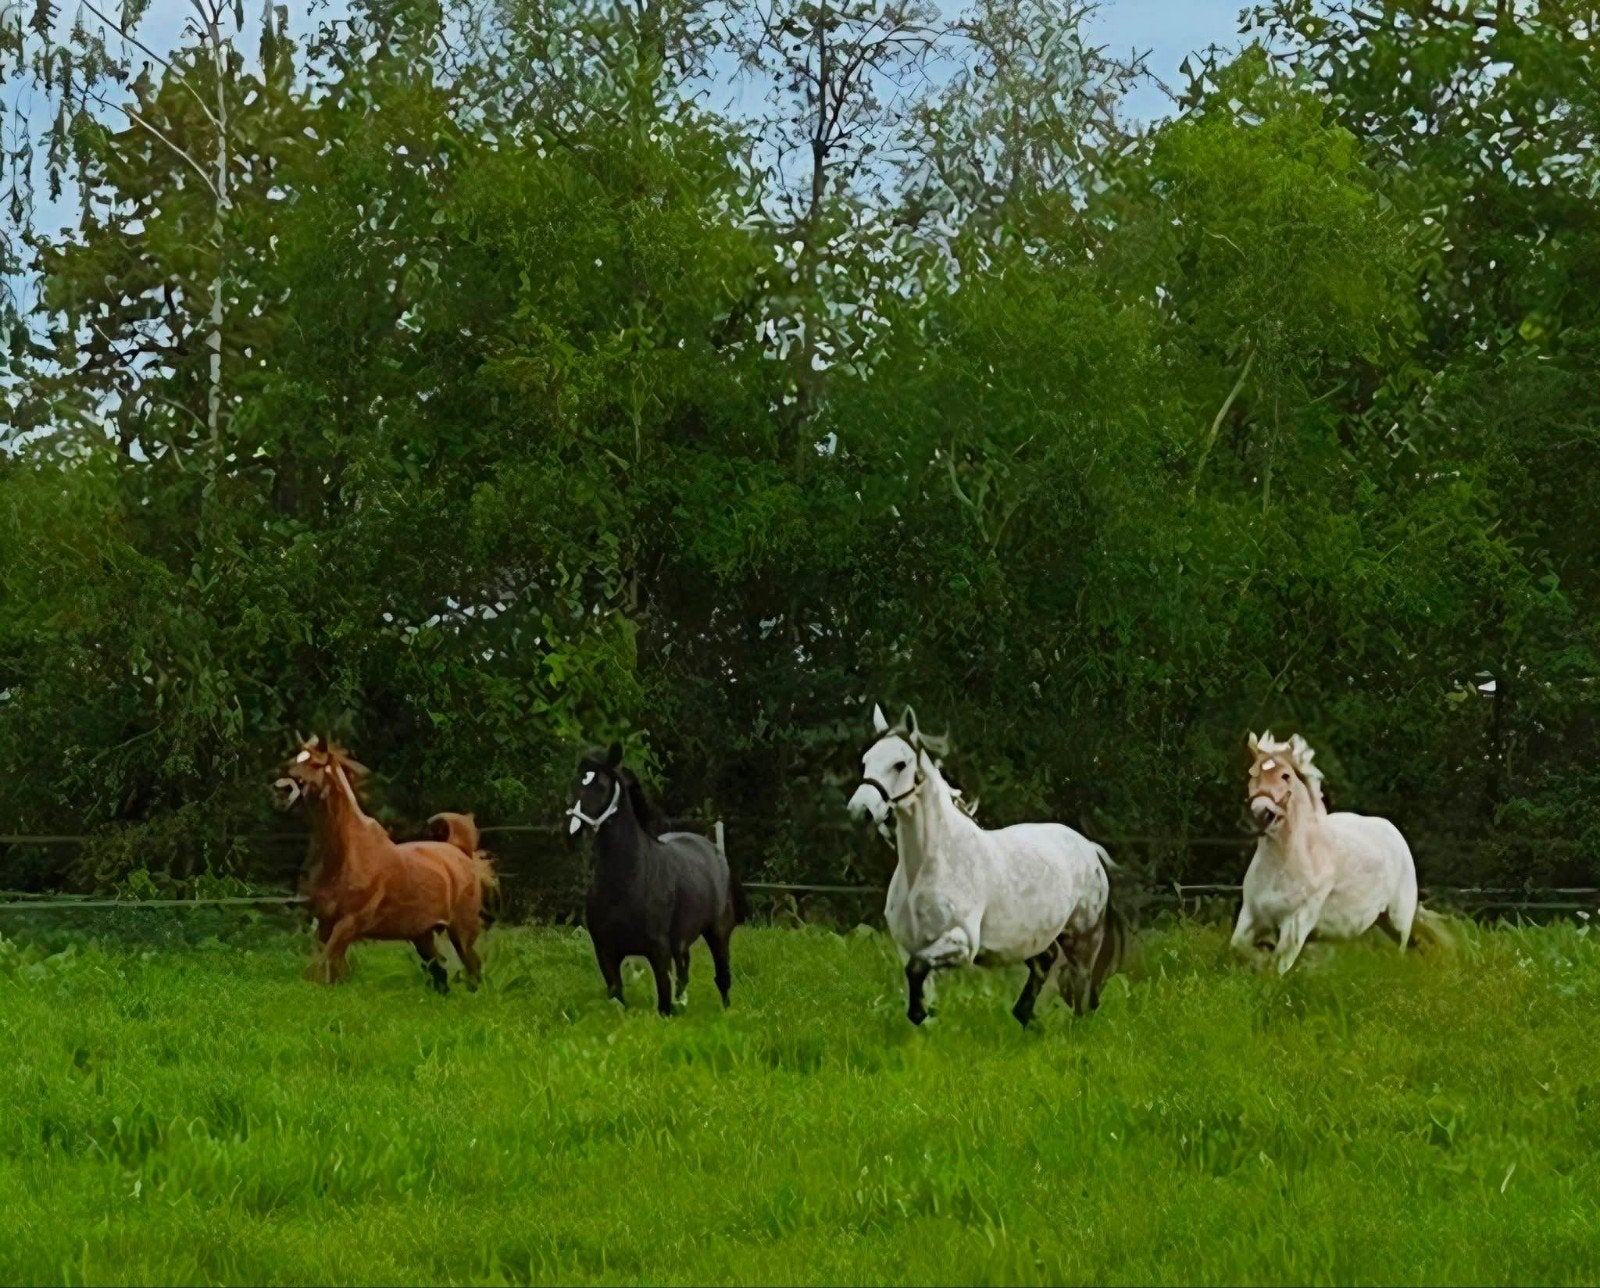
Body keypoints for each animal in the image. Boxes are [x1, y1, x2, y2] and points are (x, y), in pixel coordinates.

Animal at [273, 736, 498, 992]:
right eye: (294, 759)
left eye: (315, 764)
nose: (282, 790)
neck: (346, 855)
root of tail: (461, 850)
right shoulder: (325, 923)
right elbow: (324, 971)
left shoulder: (349, 923)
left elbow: (323, 967)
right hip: (422, 935)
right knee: (439, 972)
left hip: (462, 931)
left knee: (473, 968)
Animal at [566, 743, 744, 1016]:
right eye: (577, 783)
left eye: (601, 786)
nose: (573, 832)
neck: (627, 883)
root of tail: (713, 848)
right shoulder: (606, 954)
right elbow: (619, 1001)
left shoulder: (659, 952)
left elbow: (664, 1004)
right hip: (681, 942)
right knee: (684, 973)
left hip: (718, 932)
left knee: (722, 977)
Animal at [846, 705, 1124, 1026]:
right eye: (866, 761)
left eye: (899, 764)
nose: (860, 811)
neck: (929, 864)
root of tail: (1089, 848)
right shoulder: (910, 945)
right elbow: (918, 979)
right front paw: (925, 1019)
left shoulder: (962, 943)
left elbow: (916, 969)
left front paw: (921, 1013)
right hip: (1035, 935)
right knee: (1044, 962)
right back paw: (1023, 1017)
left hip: (1083, 937)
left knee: (1080, 986)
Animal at [1232, 730, 1450, 974]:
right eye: (1251, 774)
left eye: (1286, 775)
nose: (1260, 814)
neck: (1283, 864)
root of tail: (1394, 833)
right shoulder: (1251, 914)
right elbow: (1238, 948)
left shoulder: (1296, 924)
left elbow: (1275, 967)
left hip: (1397, 921)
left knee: (1399, 952)